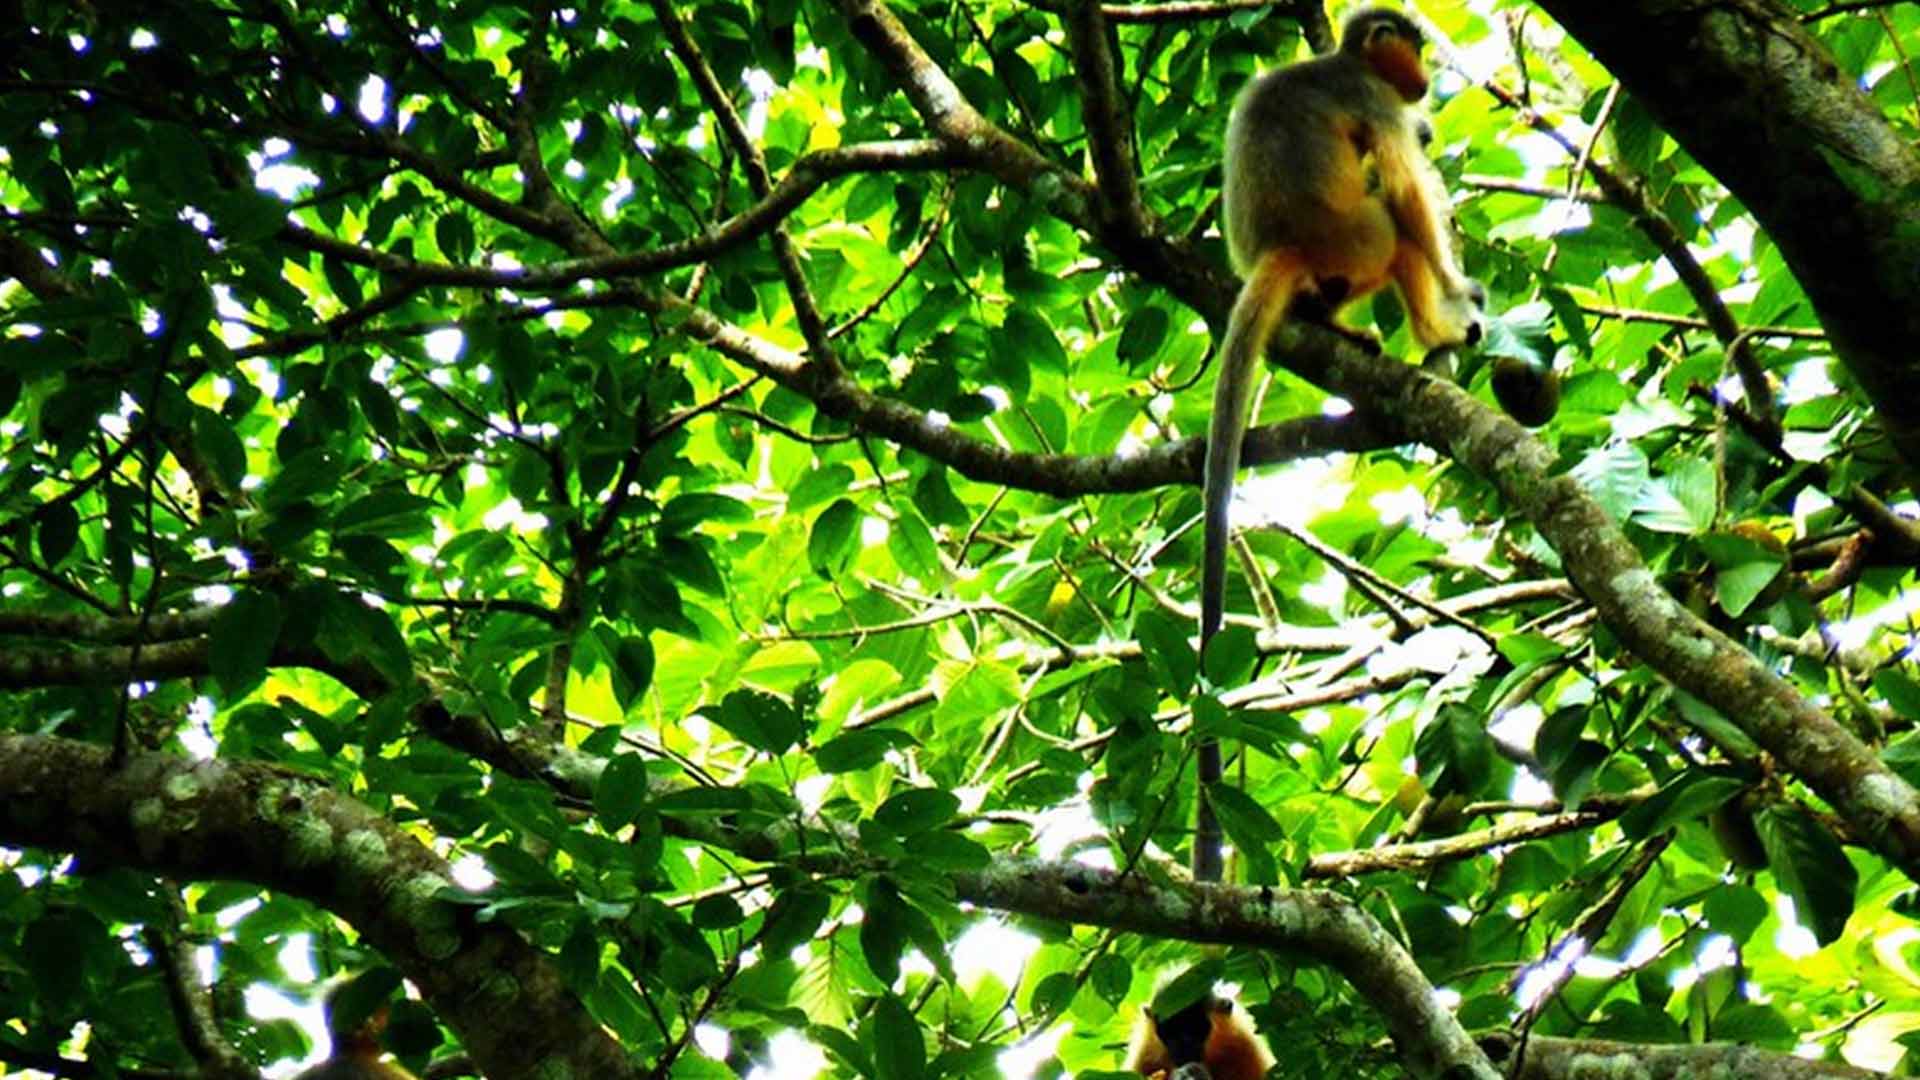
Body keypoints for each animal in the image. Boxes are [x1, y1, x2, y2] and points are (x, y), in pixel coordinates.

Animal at [1190, 10, 1489, 883]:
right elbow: (1406, 177)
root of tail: (1279, 248)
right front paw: (1452, 297)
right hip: (1357, 239)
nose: (1425, 74)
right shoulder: (1374, 100)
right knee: (1394, 214)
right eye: (1412, 45)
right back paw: (1435, 325)